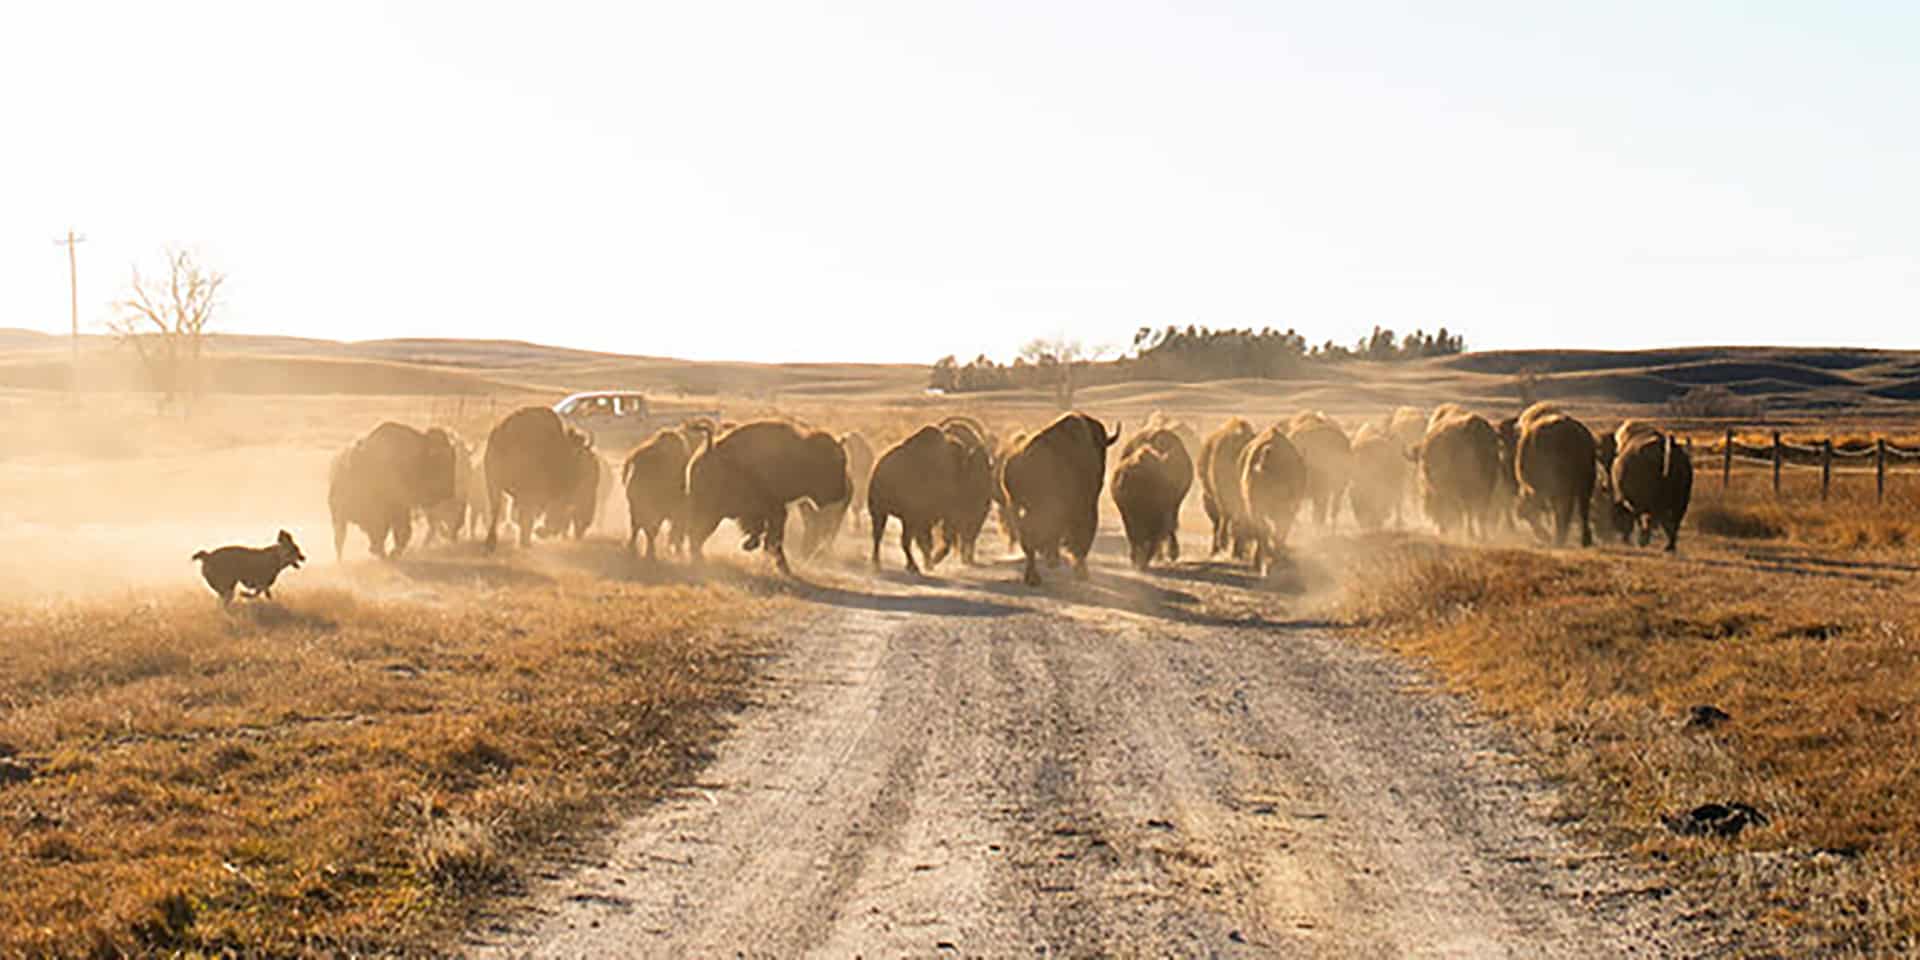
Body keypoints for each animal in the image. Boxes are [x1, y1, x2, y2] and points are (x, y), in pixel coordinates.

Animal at [685, 419, 850, 574]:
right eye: (834, 464)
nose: (842, 492)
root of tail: (709, 448)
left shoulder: (770, 511)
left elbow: (766, 533)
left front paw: (751, 546)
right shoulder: (770, 509)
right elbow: (771, 535)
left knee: (696, 536)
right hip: (710, 515)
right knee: (696, 536)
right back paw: (700, 562)